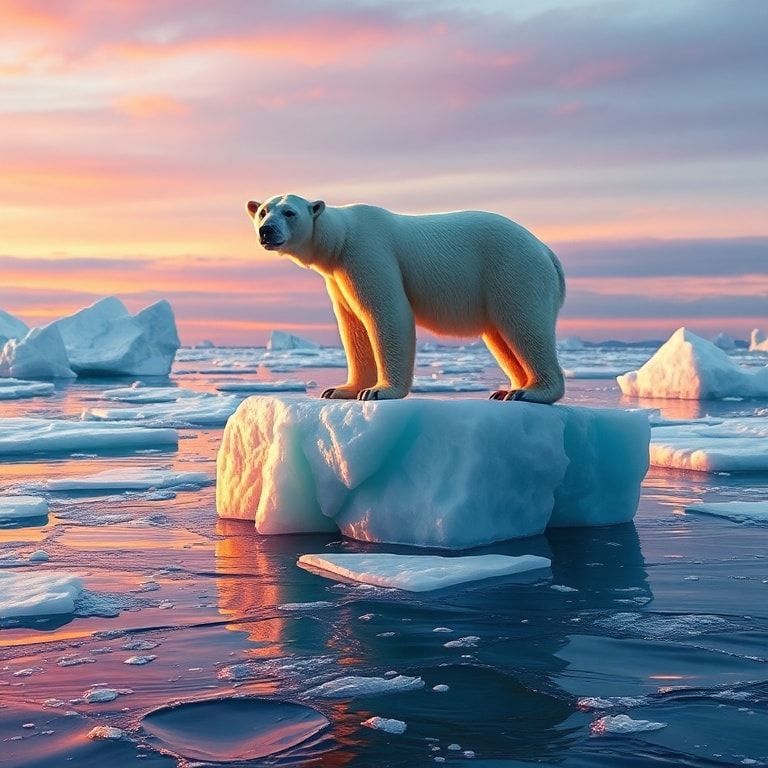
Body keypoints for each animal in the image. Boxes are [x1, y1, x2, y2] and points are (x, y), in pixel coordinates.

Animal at [246, 194, 566, 404]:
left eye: (289, 212)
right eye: (262, 211)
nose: (267, 231)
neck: (340, 238)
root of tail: (546, 252)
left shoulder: (368, 253)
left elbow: (386, 313)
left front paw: (378, 391)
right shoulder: (338, 278)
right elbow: (352, 327)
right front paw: (339, 389)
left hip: (513, 270)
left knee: (524, 325)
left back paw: (529, 391)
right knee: (501, 337)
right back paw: (506, 389)